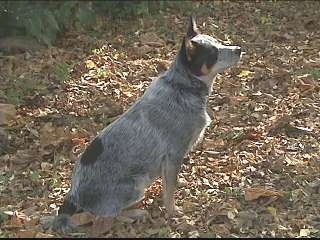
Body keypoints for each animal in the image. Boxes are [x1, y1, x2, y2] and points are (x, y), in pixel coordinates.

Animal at [50, 15, 241, 233]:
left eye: (219, 42)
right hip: (136, 184)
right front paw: (173, 212)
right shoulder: (174, 154)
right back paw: (135, 214)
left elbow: (168, 184)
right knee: (105, 218)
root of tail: (73, 196)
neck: (182, 86)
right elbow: (169, 192)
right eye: (213, 53)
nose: (239, 49)